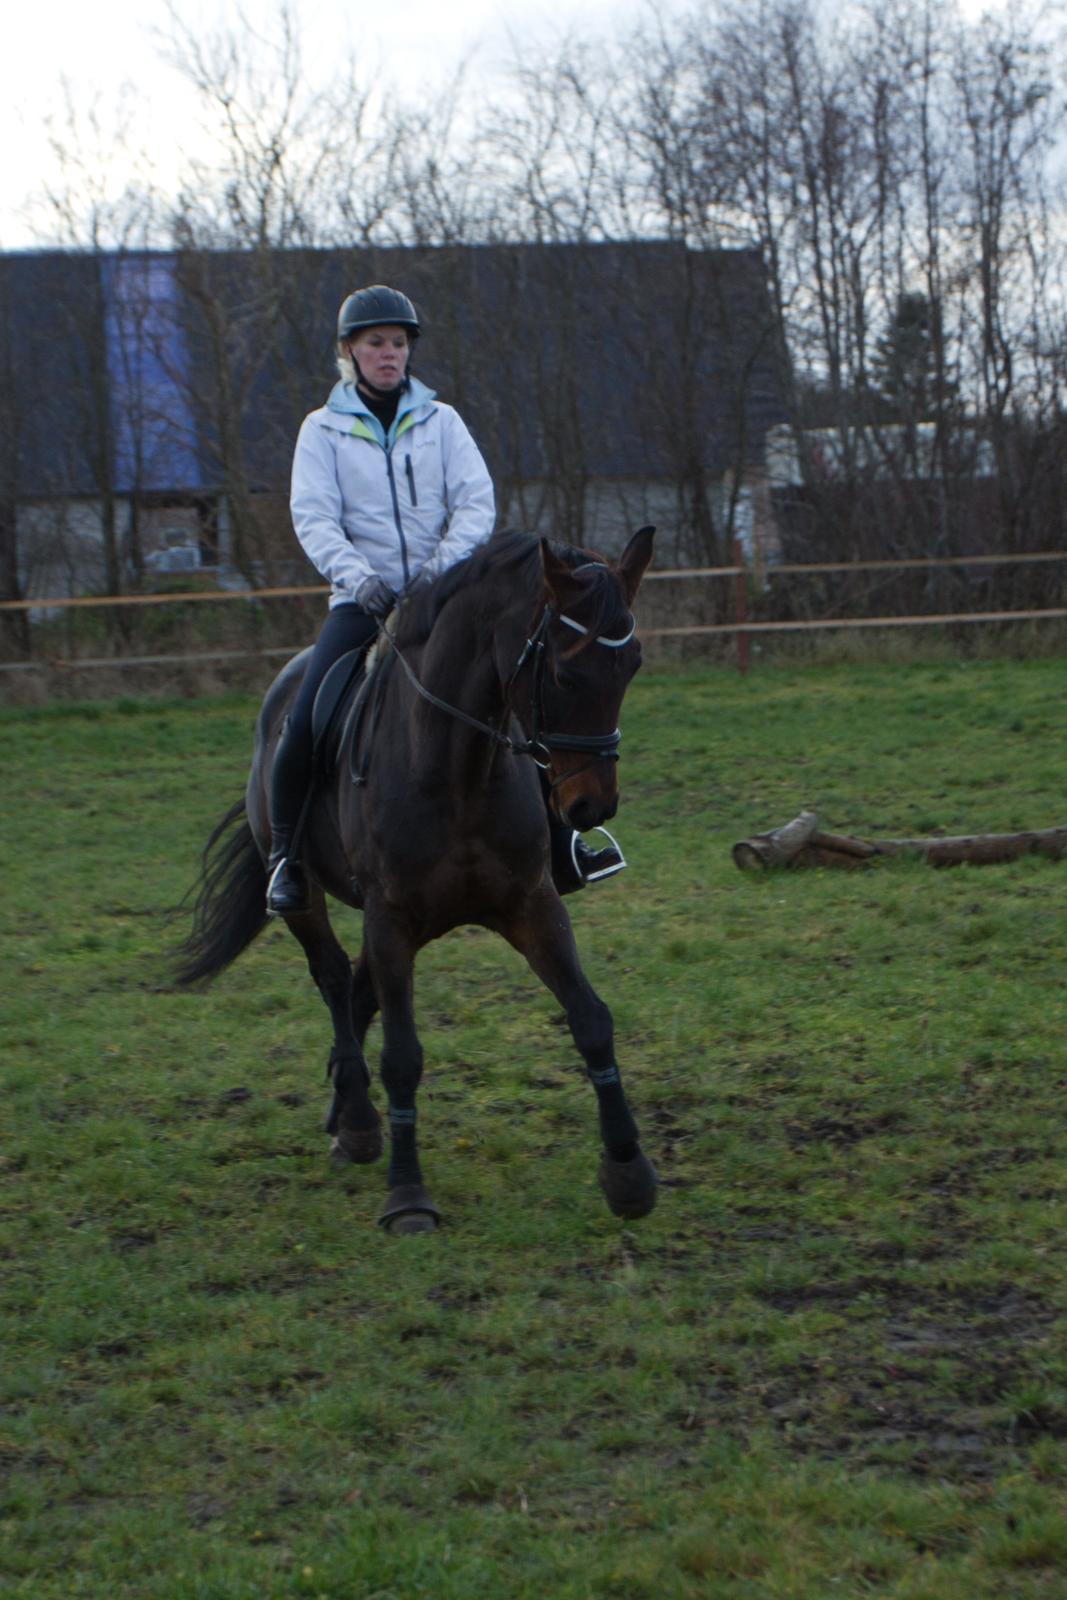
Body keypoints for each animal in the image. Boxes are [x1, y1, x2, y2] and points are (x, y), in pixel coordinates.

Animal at [177, 531, 659, 1228]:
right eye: (565, 674)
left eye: (632, 667)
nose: (592, 807)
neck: (457, 768)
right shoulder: (392, 918)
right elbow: (402, 1057)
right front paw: (407, 1197)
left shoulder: (532, 905)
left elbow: (591, 1019)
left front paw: (628, 1171)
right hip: (310, 895)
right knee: (333, 979)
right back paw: (355, 1121)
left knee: (359, 991)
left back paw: (350, 1120)